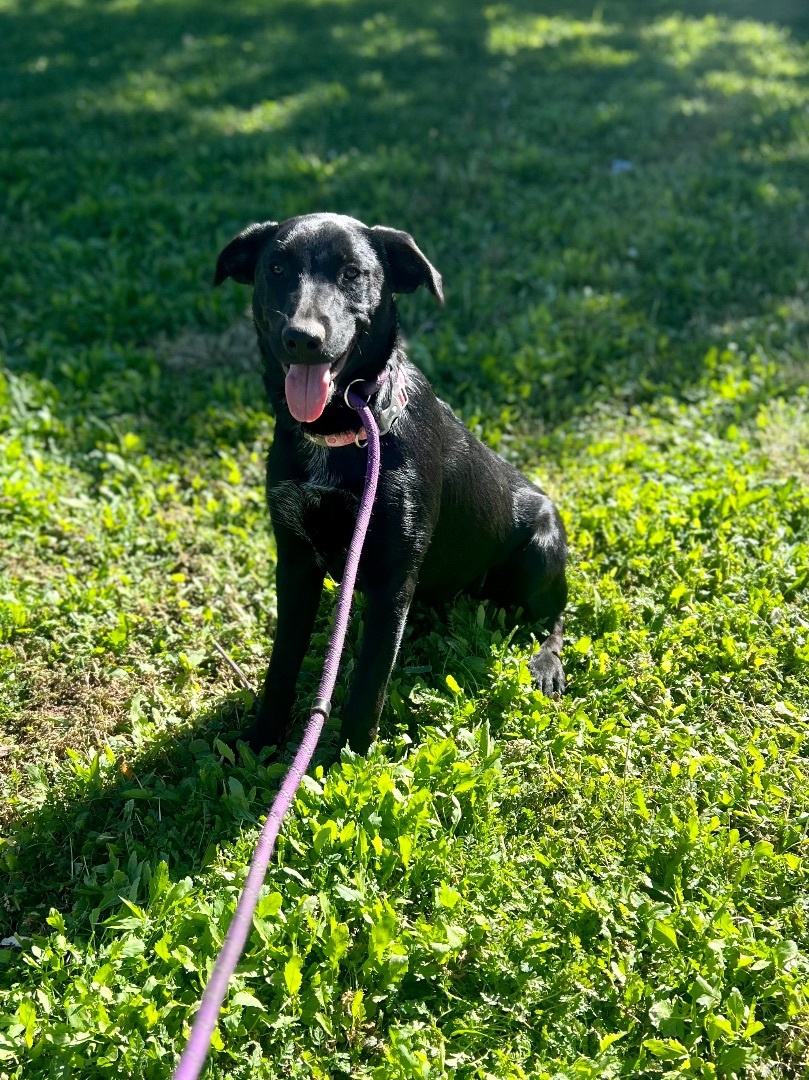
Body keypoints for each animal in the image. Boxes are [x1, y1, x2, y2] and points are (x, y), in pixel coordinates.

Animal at [214, 210, 565, 751]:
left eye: (353, 273)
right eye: (276, 268)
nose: (302, 338)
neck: (346, 428)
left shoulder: (393, 577)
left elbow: (368, 688)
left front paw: (343, 761)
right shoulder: (294, 562)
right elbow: (282, 666)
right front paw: (261, 741)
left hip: (541, 550)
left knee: (553, 617)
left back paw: (546, 663)